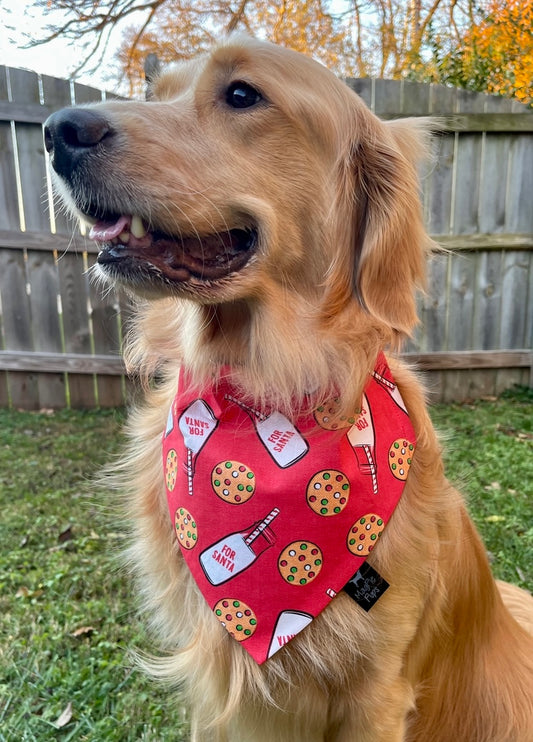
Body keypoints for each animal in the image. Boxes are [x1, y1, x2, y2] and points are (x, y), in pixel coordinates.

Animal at [44, 36, 532, 742]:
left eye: (242, 94)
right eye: (158, 94)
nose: (58, 130)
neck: (261, 394)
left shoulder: (379, 691)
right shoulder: (214, 692)